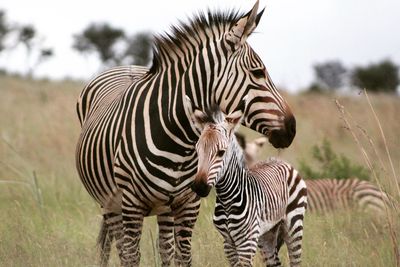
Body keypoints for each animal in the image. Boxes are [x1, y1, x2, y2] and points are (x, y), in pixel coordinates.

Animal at [75, 1, 296, 266]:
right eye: (258, 73)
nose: (292, 128)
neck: (177, 141)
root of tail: (124, 67)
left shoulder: (189, 204)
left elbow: (183, 255)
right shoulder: (131, 204)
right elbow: (131, 256)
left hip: (165, 209)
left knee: (165, 248)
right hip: (111, 204)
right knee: (118, 246)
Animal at [189, 103, 308, 266]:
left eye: (221, 152)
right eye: (197, 151)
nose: (199, 187)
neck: (227, 199)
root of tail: (279, 160)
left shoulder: (247, 242)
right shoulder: (228, 243)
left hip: (294, 224)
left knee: (296, 259)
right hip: (267, 233)